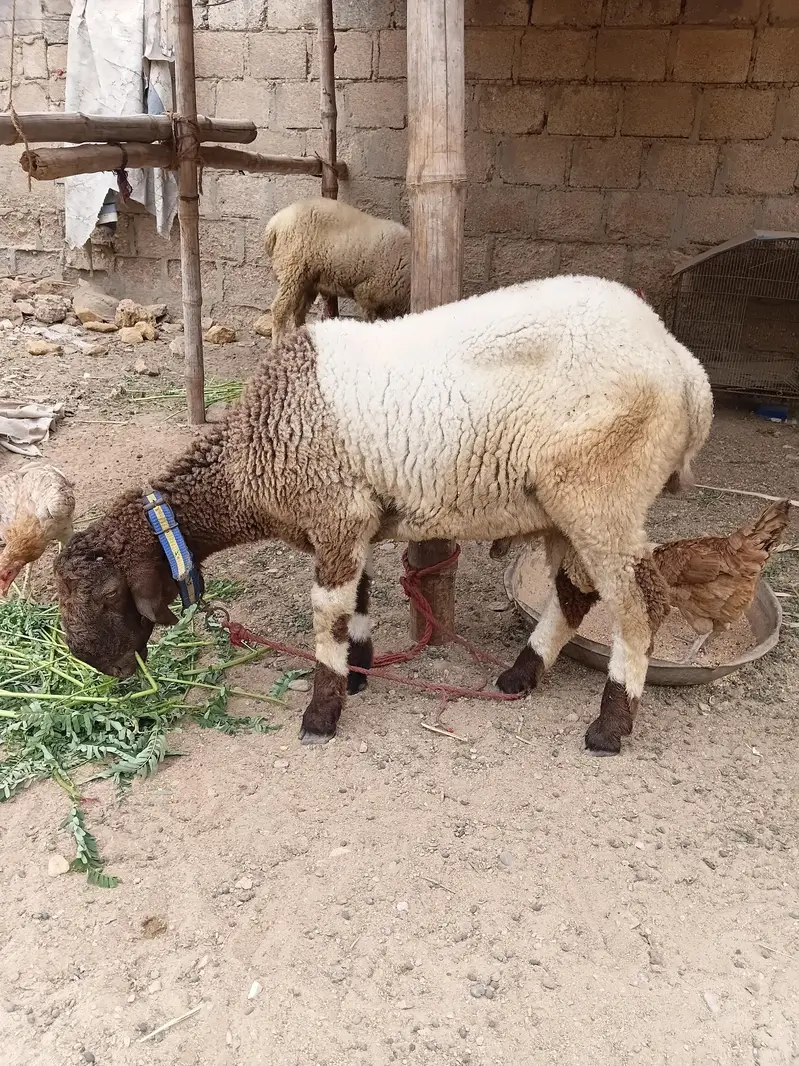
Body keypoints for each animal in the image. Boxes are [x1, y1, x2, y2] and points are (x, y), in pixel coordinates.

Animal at [55, 274, 713, 756]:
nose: (93, 664)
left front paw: (322, 712)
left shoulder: (336, 512)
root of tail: (684, 365)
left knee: (639, 605)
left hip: (602, 491)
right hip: (566, 505)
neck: (247, 461)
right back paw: (521, 676)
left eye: (105, 597)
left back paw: (610, 726)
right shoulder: (351, 522)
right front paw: (358, 672)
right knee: (576, 594)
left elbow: (326, 614)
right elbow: (360, 599)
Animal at [264, 197, 410, 344]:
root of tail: (274, 223)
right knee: (279, 309)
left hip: (307, 279)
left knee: (299, 311)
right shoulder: (368, 294)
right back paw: (277, 343)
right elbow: (370, 320)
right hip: (292, 269)